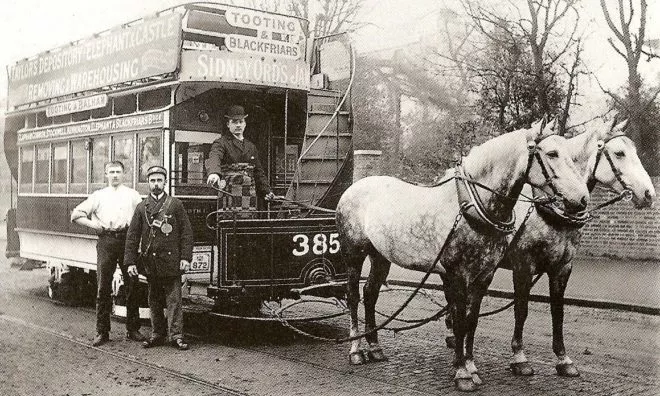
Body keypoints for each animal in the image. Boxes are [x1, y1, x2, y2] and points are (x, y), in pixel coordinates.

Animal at [336, 119, 588, 392]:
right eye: (552, 153)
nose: (582, 199)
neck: (474, 205)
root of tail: (354, 187)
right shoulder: (459, 274)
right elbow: (459, 322)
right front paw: (461, 373)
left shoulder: (484, 275)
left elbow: (471, 321)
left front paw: (471, 367)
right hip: (353, 254)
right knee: (353, 296)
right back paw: (356, 350)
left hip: (380, 256)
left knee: (370, 294)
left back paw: (375, 347)